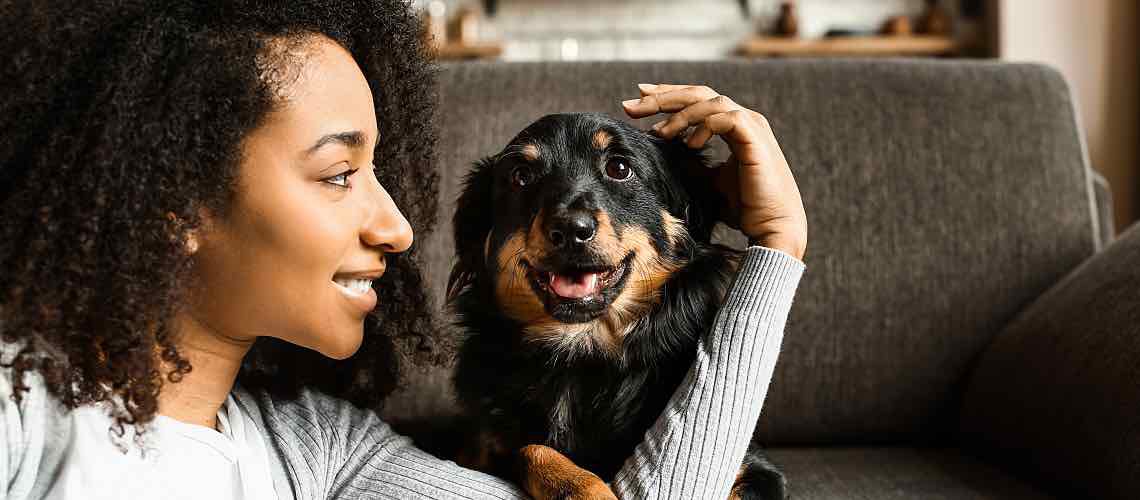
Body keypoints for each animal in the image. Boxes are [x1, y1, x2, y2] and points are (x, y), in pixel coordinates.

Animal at [449, 113, 788, 500]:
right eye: (521, 176)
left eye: (619, 168)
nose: (570, 229)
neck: (581, 351)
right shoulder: (478, 447)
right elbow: (531, 448)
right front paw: (583, 488)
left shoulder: (754, 468)